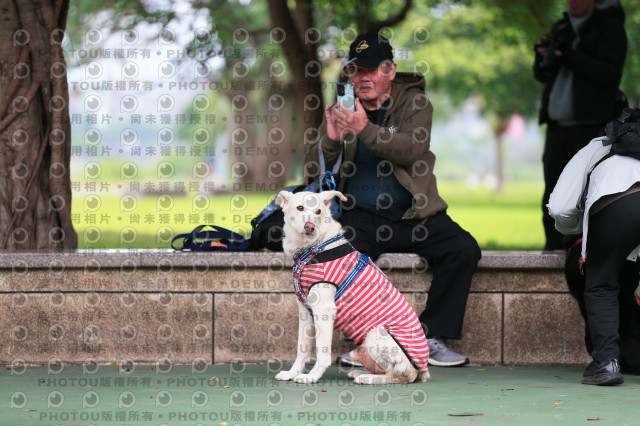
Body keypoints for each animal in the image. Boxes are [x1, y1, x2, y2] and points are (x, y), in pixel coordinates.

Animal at [274, 190, 431, 385]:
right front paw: (291, 373)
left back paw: (367, 378)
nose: (310, 226)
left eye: (318, 211)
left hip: (376, 334)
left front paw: (312, 377)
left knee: (402, 377)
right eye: (300, 208)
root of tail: (422, 370)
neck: (314, 247)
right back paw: (361, 372)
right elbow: (301, 349)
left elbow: (322, 353)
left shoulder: (324, 310)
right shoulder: (305, 310)